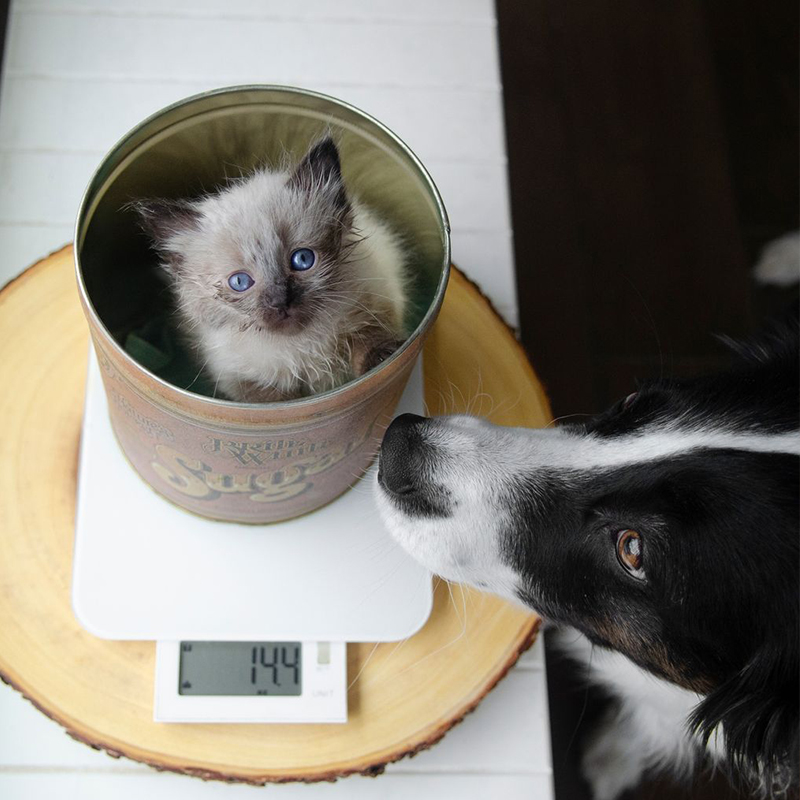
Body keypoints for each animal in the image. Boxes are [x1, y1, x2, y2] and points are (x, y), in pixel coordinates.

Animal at [133, 136, 406, 406]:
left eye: (303, 259)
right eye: (240, 282)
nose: (280, 302)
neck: (303, 347)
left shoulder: (372, 307)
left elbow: (370, 342)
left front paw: (382, 361)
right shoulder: (247, 383)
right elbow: (273, 399)